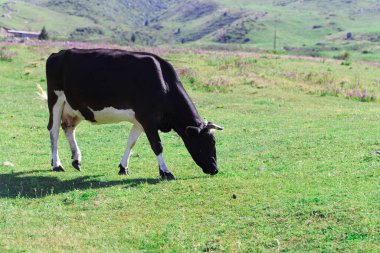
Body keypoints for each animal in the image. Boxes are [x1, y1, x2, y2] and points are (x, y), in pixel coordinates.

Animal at [38, 48, 223, 180]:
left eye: (214, 141)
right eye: (206, 142)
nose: (215, 169)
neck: (163, 83)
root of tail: (58, 53)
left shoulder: (140, 120)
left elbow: (131, 142)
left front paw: (123, 167)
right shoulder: (148, 119)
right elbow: (157, 145)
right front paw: (165, 172)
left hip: (75, 108)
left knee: (68, 128)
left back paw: (76, 160)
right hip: (56, 100)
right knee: (53, 131)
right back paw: (57, 164)